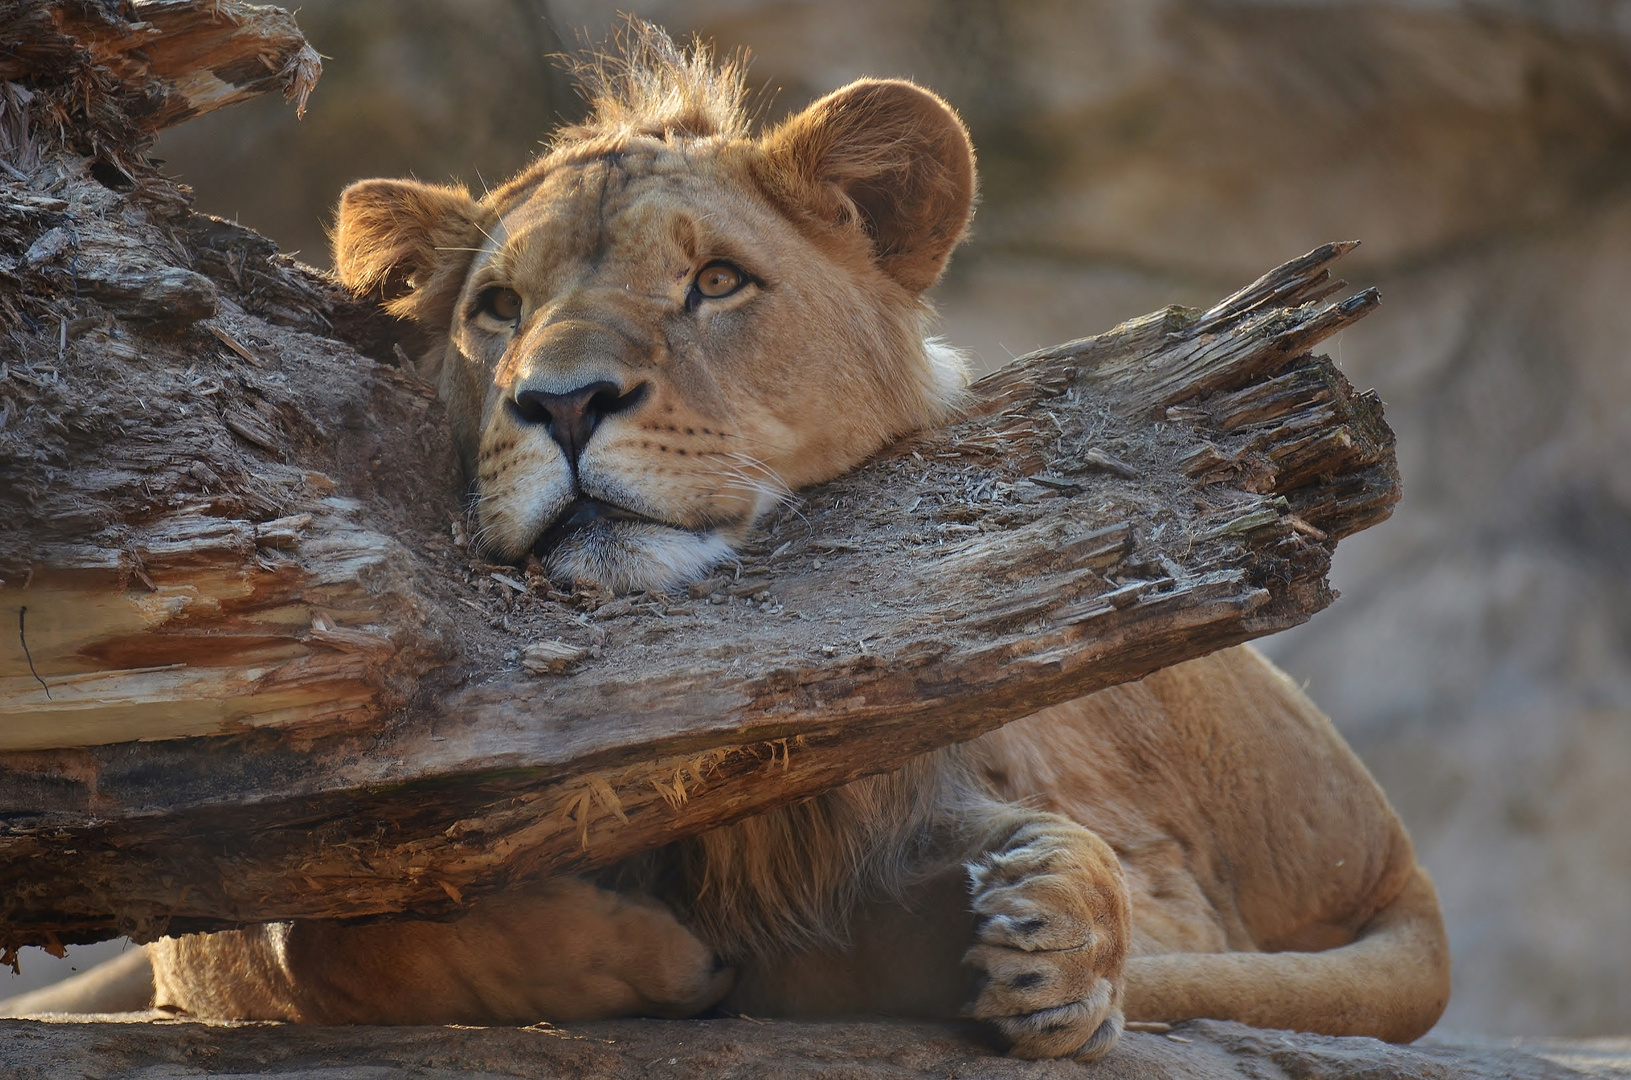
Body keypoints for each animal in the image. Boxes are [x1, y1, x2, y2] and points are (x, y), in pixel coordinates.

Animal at [0, 27, 1454, 1063]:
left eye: (714, 282)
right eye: (496, 310)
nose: (560, 402)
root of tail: (1389, 844)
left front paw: (1043, 928)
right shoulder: (221, 920)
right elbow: (319, 938)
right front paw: (644, 961)